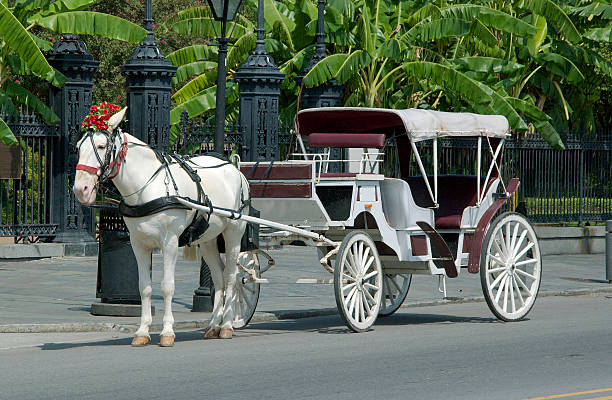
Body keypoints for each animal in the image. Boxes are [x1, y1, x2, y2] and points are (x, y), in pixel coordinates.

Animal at [73, 108, 249, 346]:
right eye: (78, 147)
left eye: (101, 146)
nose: (80, 189)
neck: (147, 186)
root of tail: (234, 168)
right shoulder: (138, 244)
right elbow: (144, 287)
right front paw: (142, 331)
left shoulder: (170, 243)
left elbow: (167, 286)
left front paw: (167, 331)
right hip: (208, 239)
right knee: (219, 278)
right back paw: (214, 325)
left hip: (233, 234)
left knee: (231, 276)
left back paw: (228, 325)